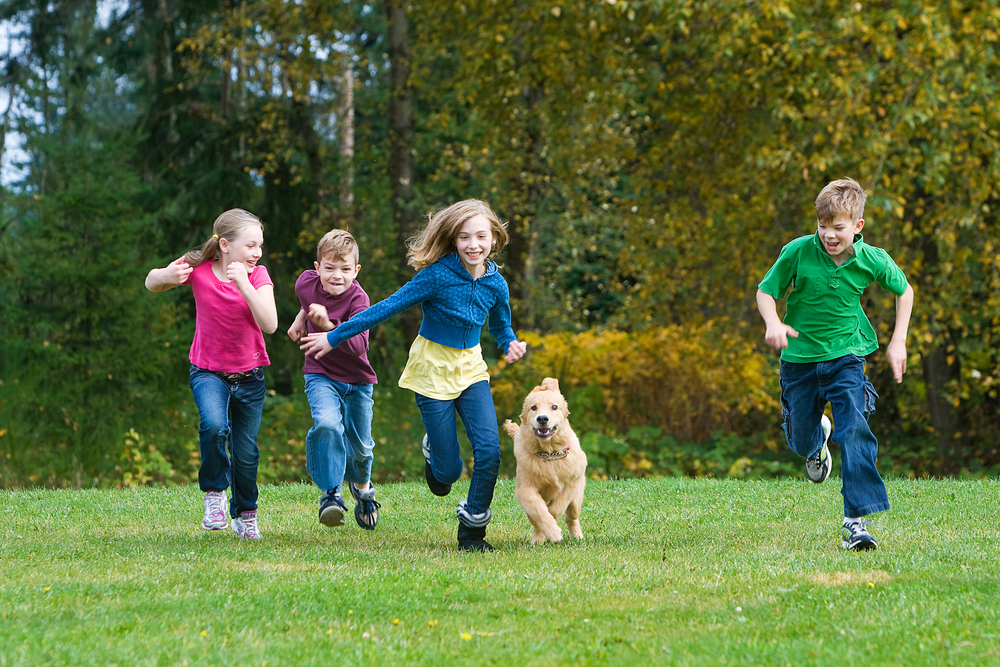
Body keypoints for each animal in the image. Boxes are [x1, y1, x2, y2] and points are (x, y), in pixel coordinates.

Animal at [504, 378, 584, 544]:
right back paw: (538, 540)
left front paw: (554, 530)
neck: (549, 454)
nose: (542, 418)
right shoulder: (524, 489)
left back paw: (577, 536)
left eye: (554, 407)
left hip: (577, 498)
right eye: (533, 407)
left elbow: (556, 507)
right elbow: (539, 510)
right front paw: (552, 532)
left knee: (571, 515)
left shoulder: (573, 481)